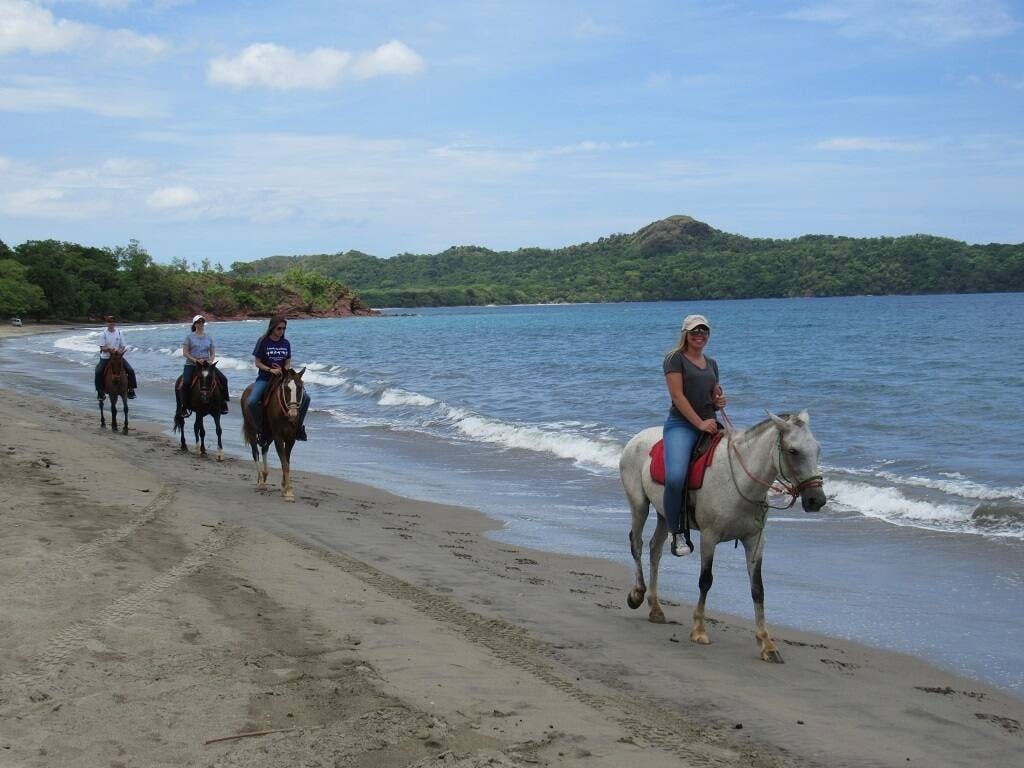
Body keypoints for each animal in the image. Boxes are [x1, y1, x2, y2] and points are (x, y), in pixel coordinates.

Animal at [241, 368, 305, 501]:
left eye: (300, 387)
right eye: (286, 388)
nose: (293, 414)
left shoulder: (291, 439)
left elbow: (287, 462)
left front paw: (285, 488)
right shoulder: (278, 438)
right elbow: (284, 463)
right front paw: (288, 492)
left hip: (269, 434)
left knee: (264, 449)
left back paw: (264, 477)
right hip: (252, 429)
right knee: (255, 453)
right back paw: (261, 482)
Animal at [614, 411, 823, 663]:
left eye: (817, 449)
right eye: (793, 451)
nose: (817, 500)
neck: (740, 481)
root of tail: (637, 438)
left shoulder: (755, 541)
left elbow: (758, 590)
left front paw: (766, 644)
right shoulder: (709, 537)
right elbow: (706, 581)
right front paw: (699, 630)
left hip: (666, 513)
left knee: (655, 549)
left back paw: (655, 608)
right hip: (639, 505)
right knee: (637, 544)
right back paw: (637, 594)